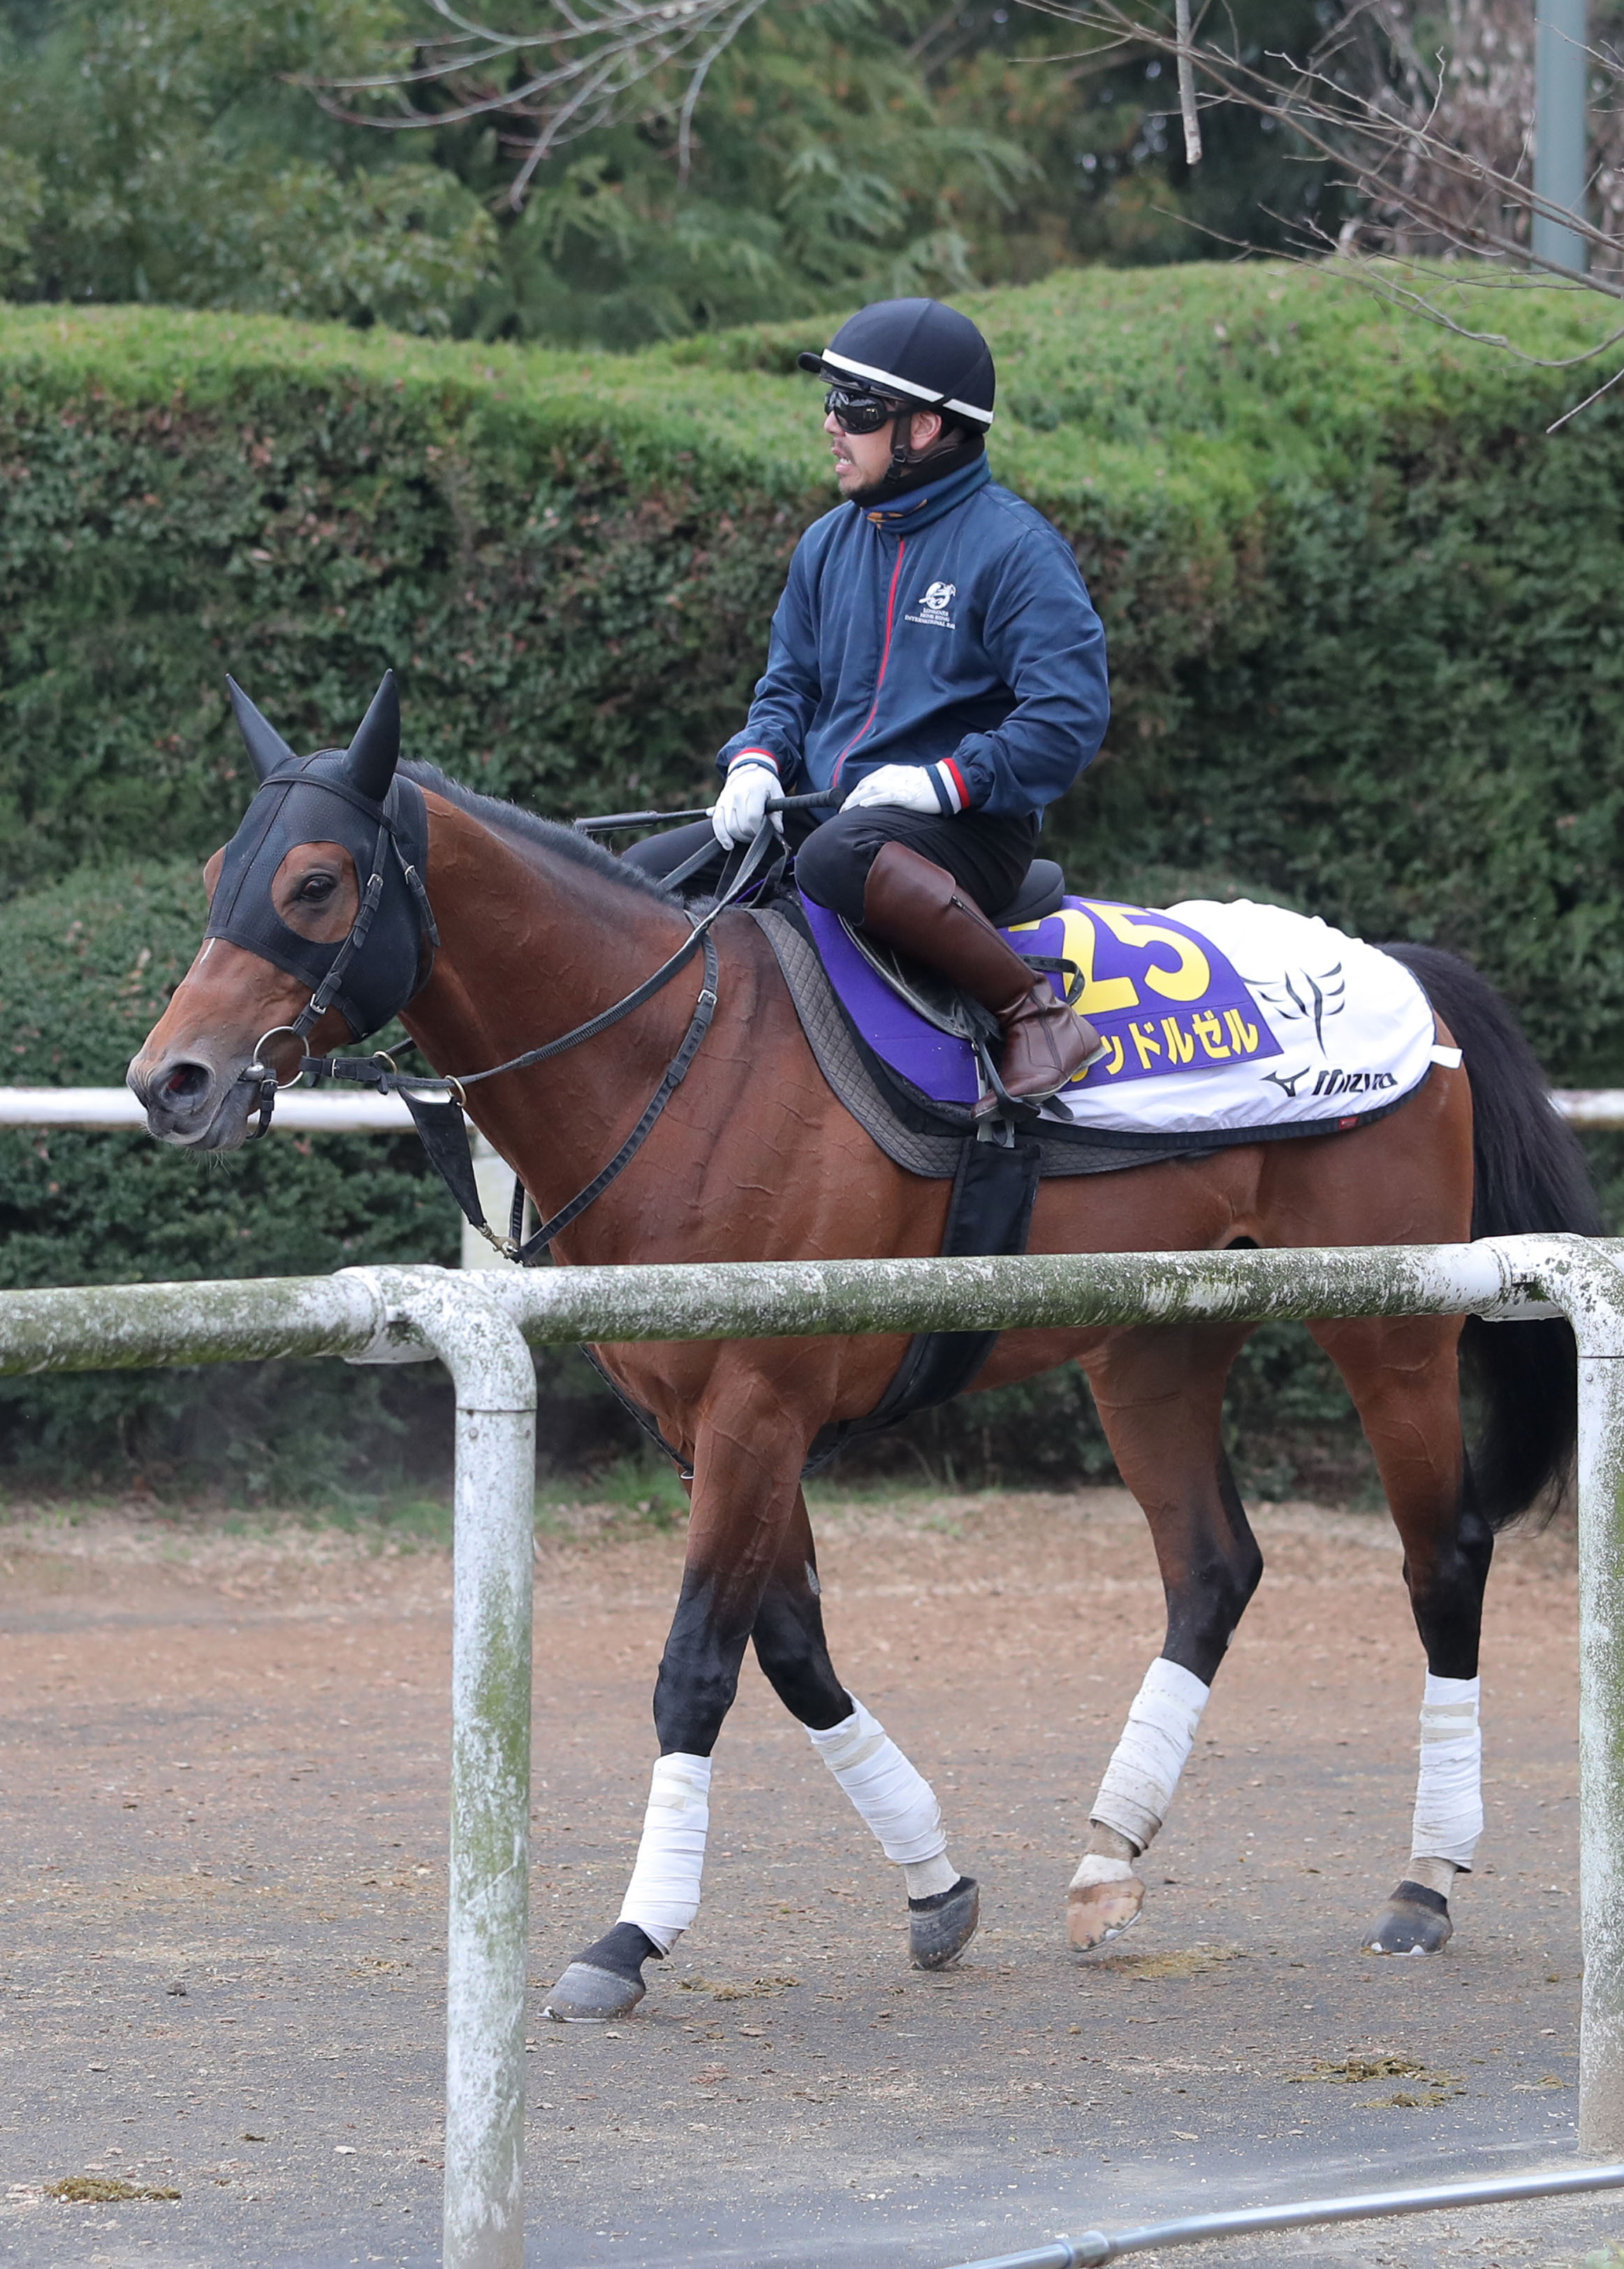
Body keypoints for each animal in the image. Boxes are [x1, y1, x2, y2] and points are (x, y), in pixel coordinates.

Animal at [128, 675, 1599, 2022]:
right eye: (219, 874)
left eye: (317, 881)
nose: (171, 1081)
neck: (676, 1053)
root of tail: (1406, 974)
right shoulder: (700, 1423)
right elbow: (790, 1650)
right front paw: (934, 1878)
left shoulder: (759, 1404)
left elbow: (699, 1665)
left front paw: (632, 1934)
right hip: (1150, 1348)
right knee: (1212, 1569)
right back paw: (1107, 1856)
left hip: (1388, 1333)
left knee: (1443, 1555)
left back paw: (1426, 1876)